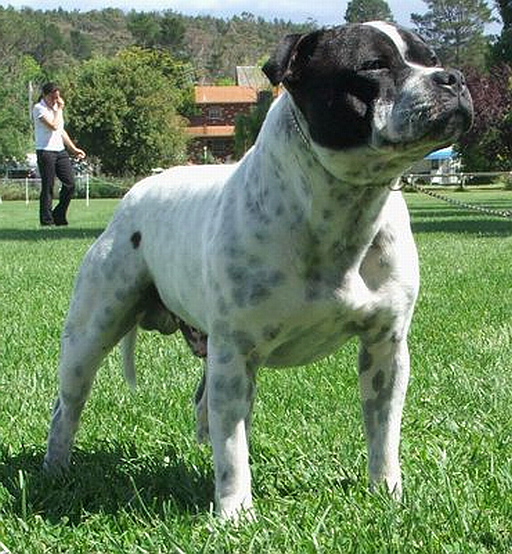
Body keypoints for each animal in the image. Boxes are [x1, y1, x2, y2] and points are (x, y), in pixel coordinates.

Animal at [43, 21, 472, 516]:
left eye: (431, 58)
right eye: (373, 66)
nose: (454, 78)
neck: (340, 209)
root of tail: (136, 192)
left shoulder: (385, 347)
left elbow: (383, 430)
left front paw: (387, 491)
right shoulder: (237, 350)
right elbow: (232, 446)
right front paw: (234, 512)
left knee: (205, 406)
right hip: (91, 335)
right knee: (68, 406)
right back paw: (55, 470)